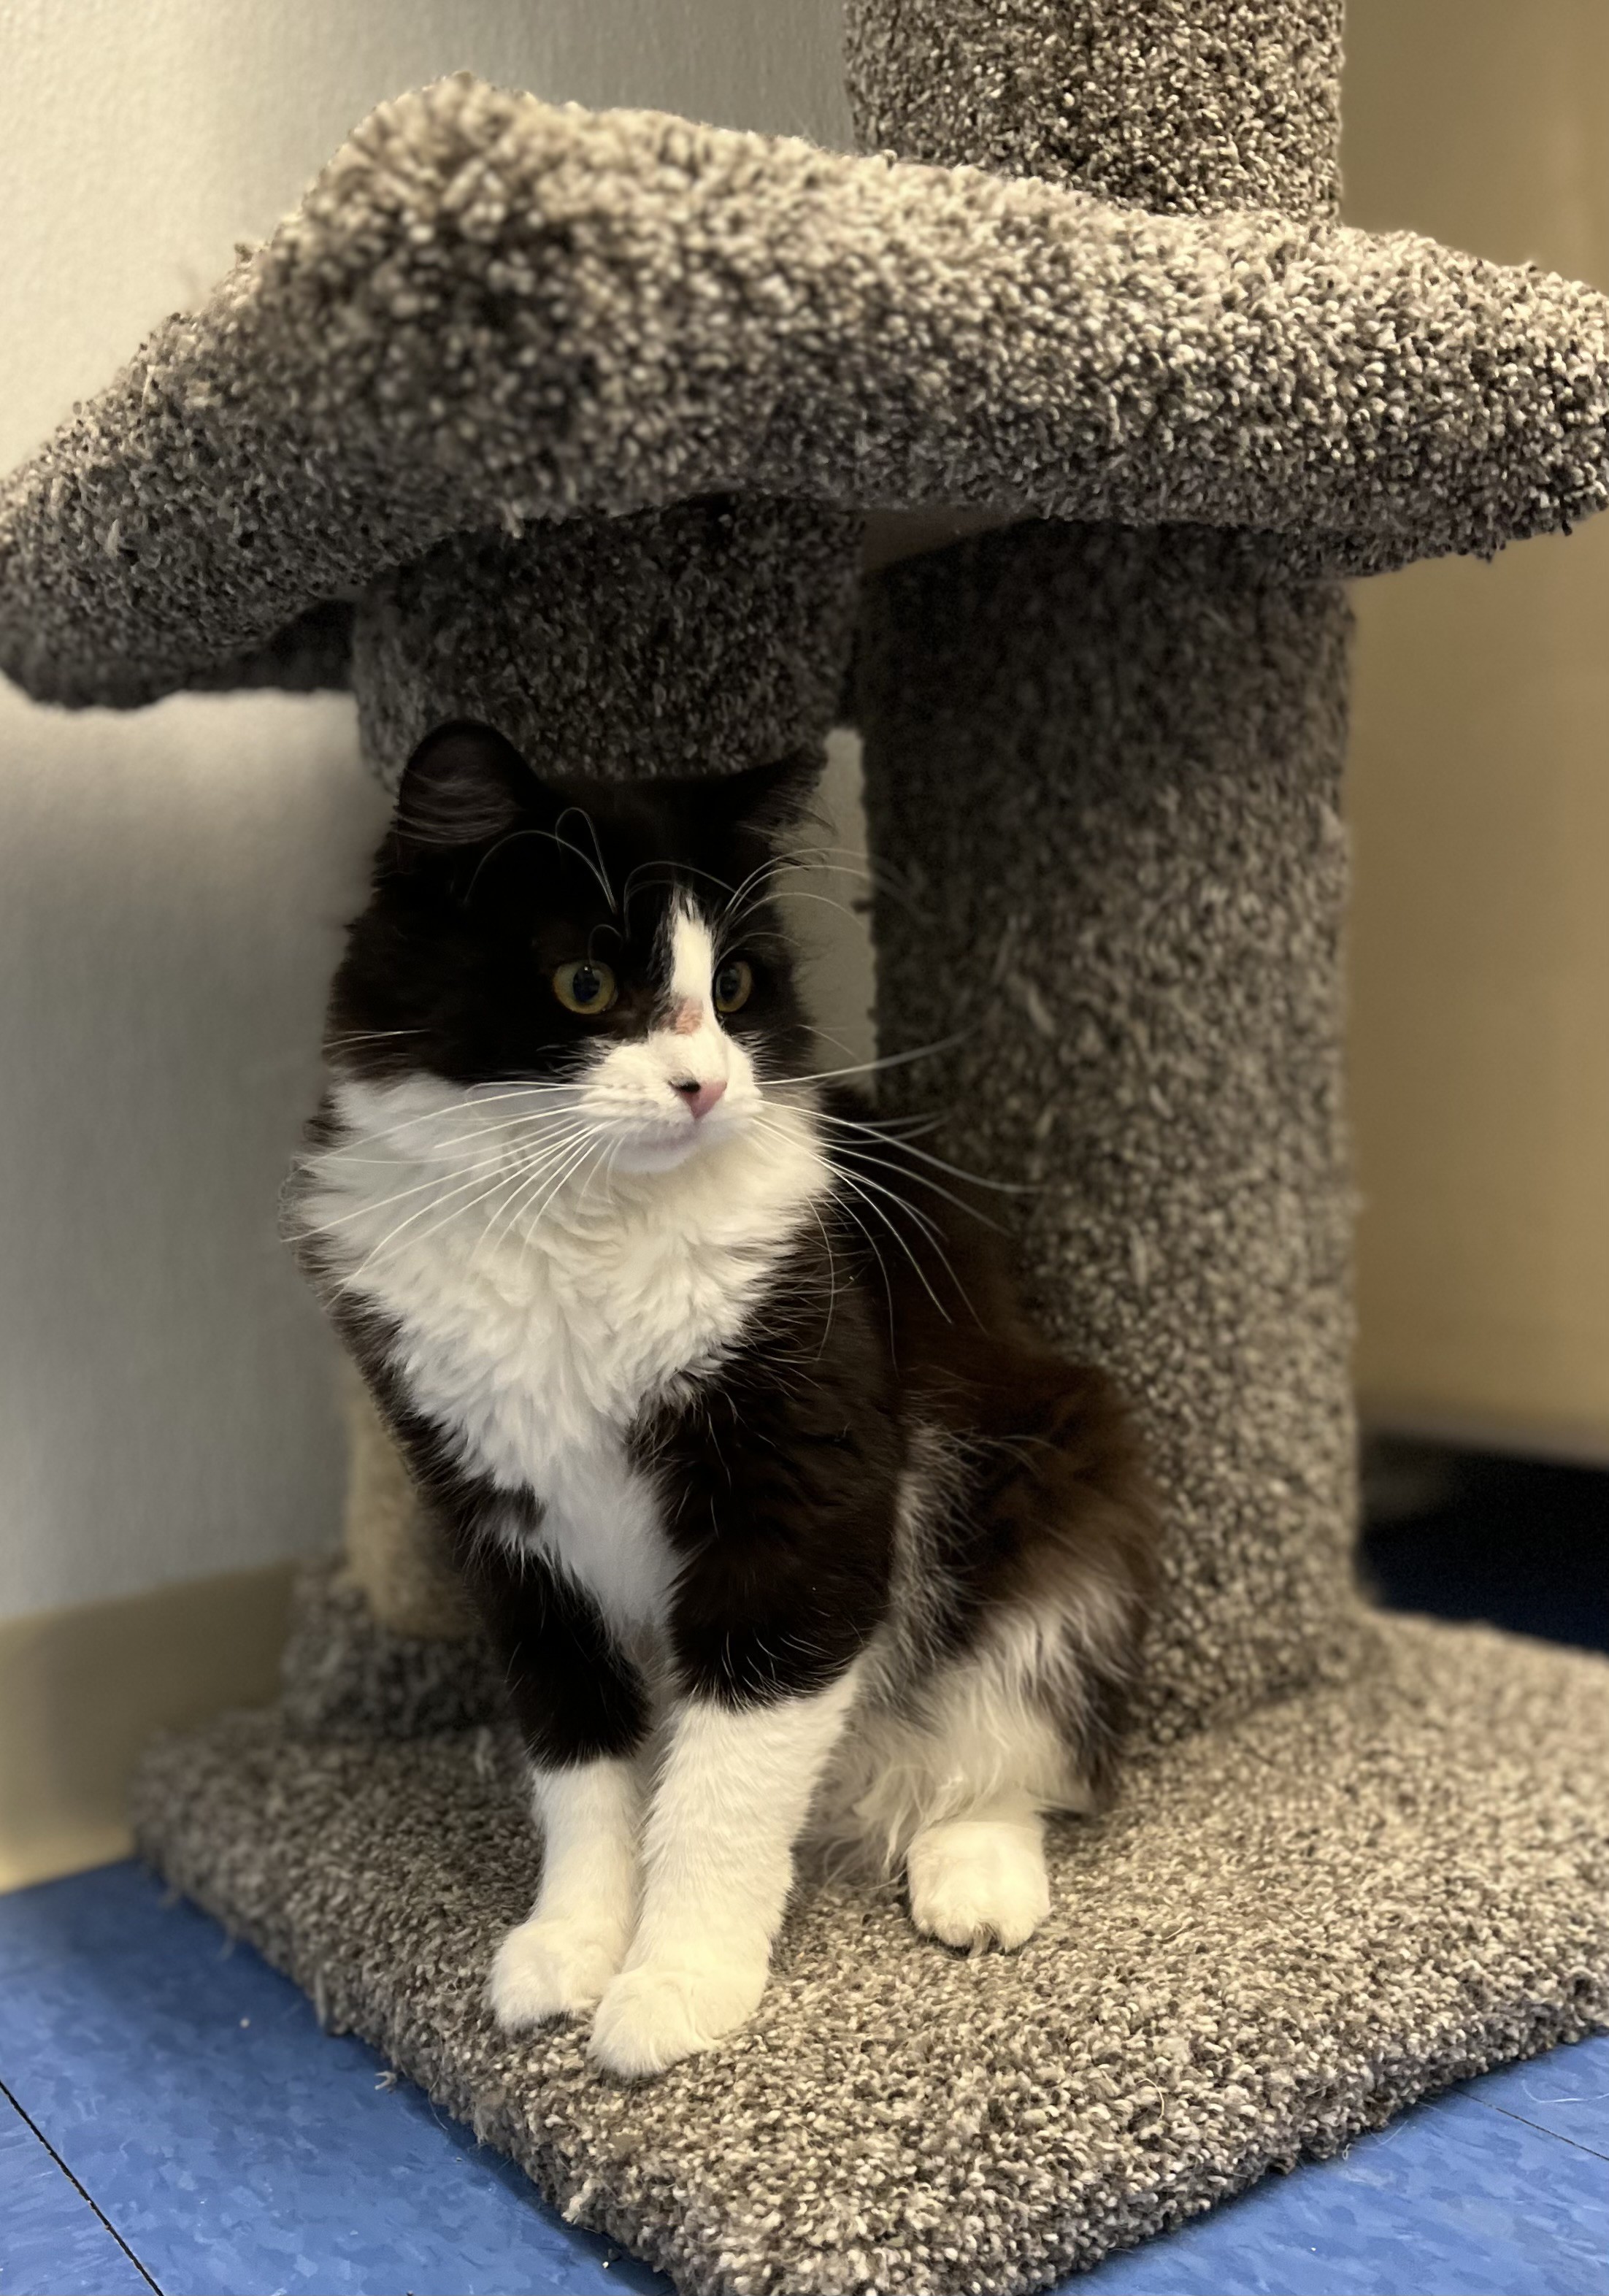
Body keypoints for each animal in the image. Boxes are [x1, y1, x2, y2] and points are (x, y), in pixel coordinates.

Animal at [289, 719, 1158, 2079]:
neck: (574, 1225)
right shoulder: (501, 1529)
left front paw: (676, 1985)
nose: (703, 1083)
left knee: (1008, 1736)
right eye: (587, 987)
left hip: (1058, 1487)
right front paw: (573, 1946)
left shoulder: (801, 1493)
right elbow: (581, 1762)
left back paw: (970, 1874)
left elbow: (723, 1785)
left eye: (736, 988)